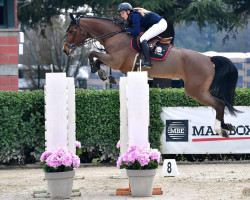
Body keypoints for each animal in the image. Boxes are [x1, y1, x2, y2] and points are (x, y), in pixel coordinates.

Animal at [63, 13, 239, 138]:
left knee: (218, 104)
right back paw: (227, 127)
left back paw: (220, 129)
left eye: (71, 31)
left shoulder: (115, 61)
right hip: (199, 90)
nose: (65, 50)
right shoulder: (115, 61)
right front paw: (105, 75)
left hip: (195, 90)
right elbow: (95, 56)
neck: (114, 35)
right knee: (221, 103)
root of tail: (208, 59)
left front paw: (101, 73)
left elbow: (92, 54)